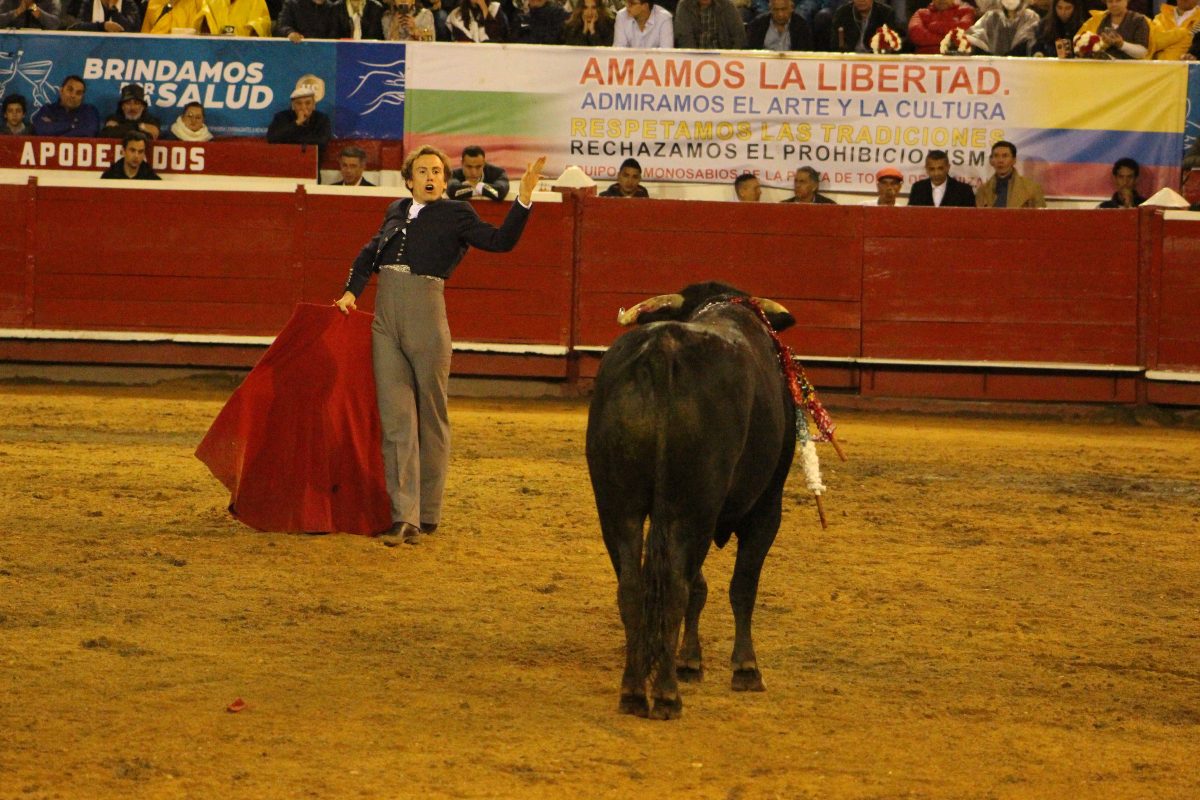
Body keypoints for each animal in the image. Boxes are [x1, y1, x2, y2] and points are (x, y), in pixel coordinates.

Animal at [588, 281, 801, 719]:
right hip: (691, 509)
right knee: (675, 587)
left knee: (633, 587)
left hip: (617, 505)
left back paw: (634, 691)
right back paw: (667, 694)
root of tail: (664, 349)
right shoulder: (766, 508)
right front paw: (745, 668)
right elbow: (742, 585)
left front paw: (690, 661)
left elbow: (700, 586)